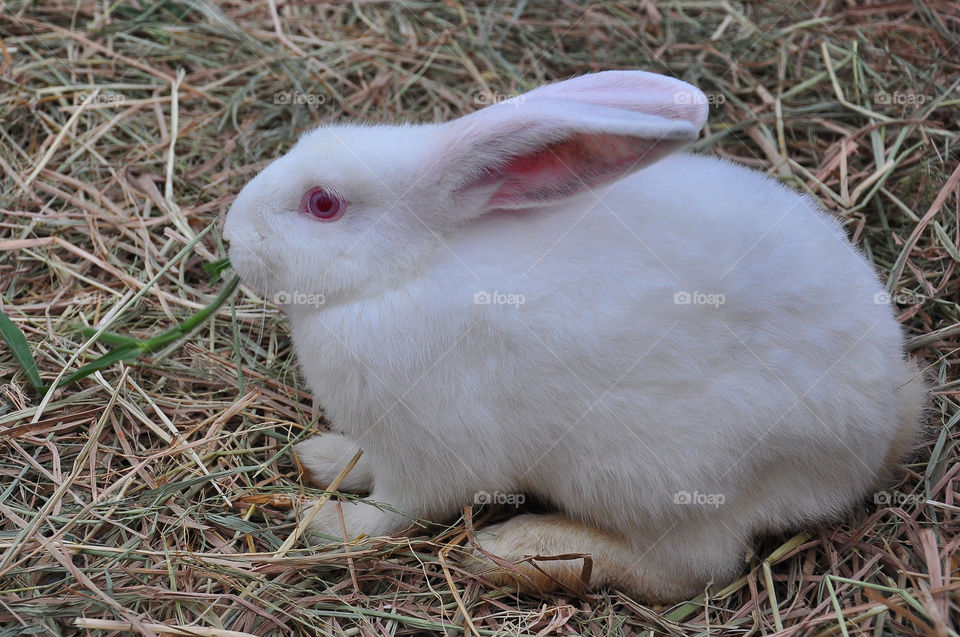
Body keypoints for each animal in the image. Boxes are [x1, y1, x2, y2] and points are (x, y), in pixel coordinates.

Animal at [221, 70, 927, 602]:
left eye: (323, 205)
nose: (230, 237)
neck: (407, 271)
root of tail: (880, 432)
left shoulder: (429, 454)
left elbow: (396, 512)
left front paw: (327, 522)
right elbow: (361, 461)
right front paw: (323, 460)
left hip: (661, 479)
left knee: (691, 568)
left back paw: (516, 551)